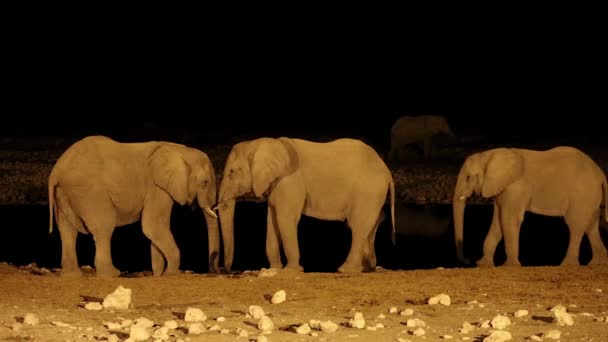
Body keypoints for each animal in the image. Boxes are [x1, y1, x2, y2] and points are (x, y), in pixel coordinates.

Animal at [49, 135, 221, 276]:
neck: (180, 150)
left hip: (65, 193)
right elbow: (153, 225)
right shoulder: (157, 188)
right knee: (104, 227)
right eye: (205, 182)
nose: (215, 271)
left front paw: (158, 274)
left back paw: (72, 275)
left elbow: (154, 230)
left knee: (67, 230)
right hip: (90, 193)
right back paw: (111, 274)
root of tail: (56, 171)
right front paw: (170, 274)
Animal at [213, 136, 394, 272]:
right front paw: (274, 269)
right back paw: (367, 268)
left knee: (358, 226)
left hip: (368, 191)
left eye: (232, 172)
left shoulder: (290, 181)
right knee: (372, 224)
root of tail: (386, 170)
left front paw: (291, 271)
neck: (263, 144)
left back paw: (345, 270)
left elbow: (285, 219)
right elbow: (272, 221)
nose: (226, 270)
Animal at [452, 146, 608, 266]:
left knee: (575, 226)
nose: (469, 260)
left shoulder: (516, 188)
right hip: (591, 197)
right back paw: (597, 264)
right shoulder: (501, 189)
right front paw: (484, 264)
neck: (489, 155)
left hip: (582, 195)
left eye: (468, 178)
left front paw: (509, 266)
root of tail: (601, 174)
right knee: (591, 227)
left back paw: (567, 265)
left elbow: (508, 220)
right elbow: (498, 222)